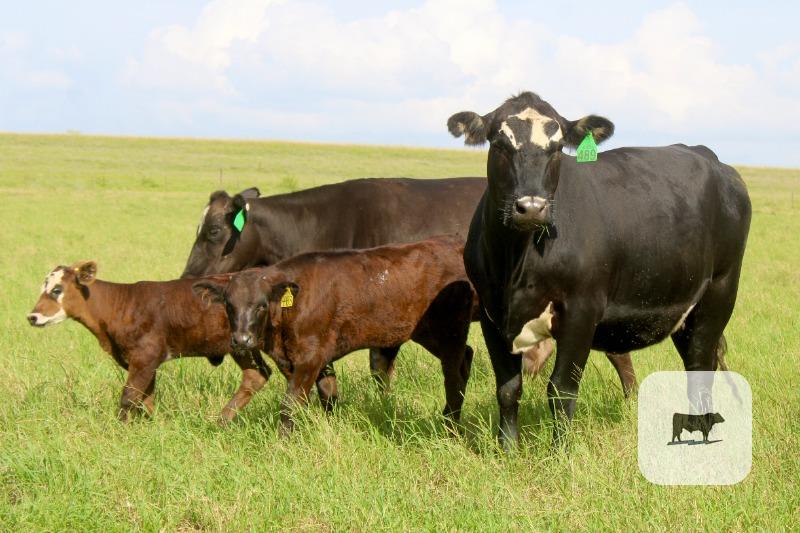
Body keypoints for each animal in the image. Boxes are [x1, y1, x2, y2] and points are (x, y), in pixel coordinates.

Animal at [26, 261, 337, 422]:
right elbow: (146, 399)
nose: (33, 316)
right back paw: (221, 421)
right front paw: (158, 425)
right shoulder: (143, 362)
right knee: (257, 375)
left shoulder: (145, 357)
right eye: (43, 287)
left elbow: (129, 397)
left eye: (57, 289)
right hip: (242, 345)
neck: (120, 305)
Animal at [192, 235, 475, 434]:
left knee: (453, 376)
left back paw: (450, 426)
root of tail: (453, 243)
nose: (242, 340)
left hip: (450, 331)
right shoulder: (308, 359)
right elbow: (327, 397)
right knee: (467, 357)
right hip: (427, 333)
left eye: (261, 305)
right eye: (229, 305)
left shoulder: (310, 357)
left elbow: (290, 404)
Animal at [448, 91, 750, 449]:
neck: (516, 264)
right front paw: (507, 450)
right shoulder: (492, 314)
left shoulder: (582, 308)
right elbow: (508, 389)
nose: (532, 207)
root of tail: (710, 158)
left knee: (700, 372)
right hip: (683, 310)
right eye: (499, 143)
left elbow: (561, 389)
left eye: (557, 147)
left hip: (718, 293)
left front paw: (559, 452)